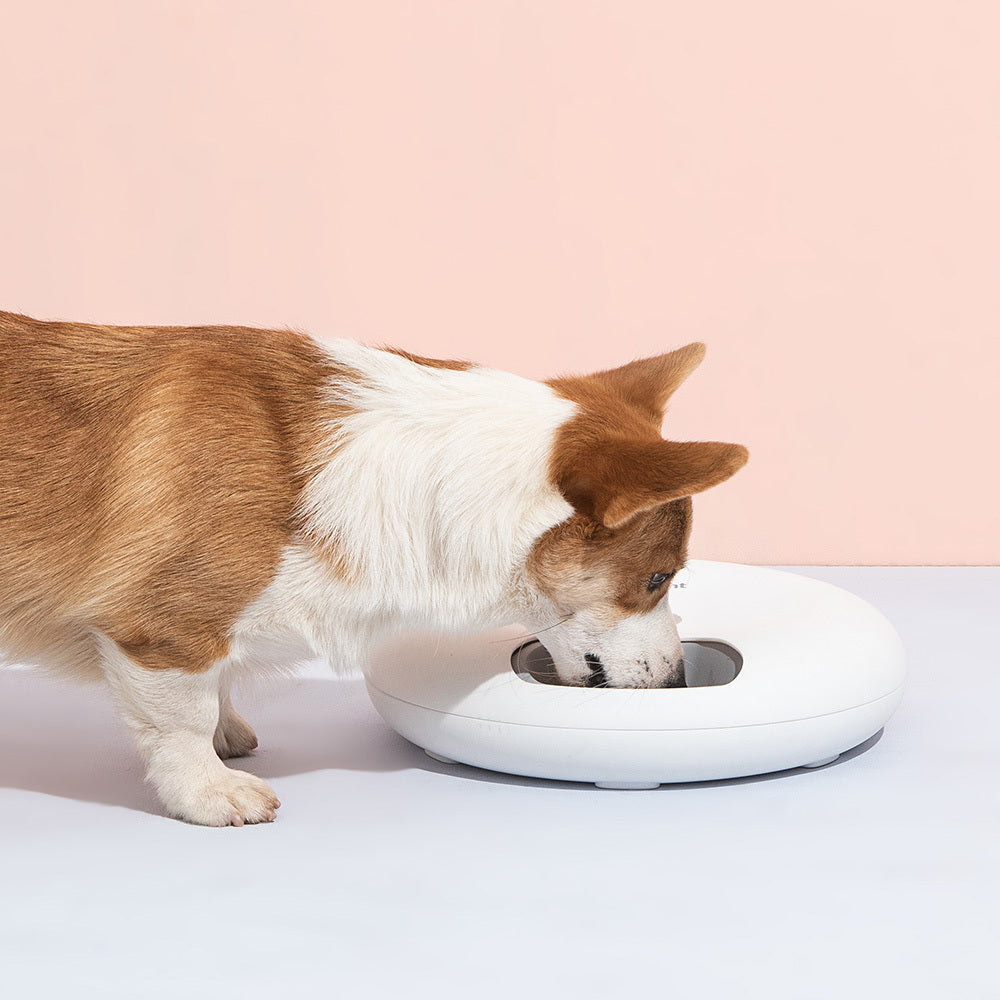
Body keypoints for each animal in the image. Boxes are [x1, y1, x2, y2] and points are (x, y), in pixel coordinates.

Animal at [1, 314, 752, 828]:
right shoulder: (163, 631)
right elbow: (179, 720)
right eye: (658, 581)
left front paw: (227, 729)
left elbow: (213, 691)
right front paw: (211, 790)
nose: (680, 682)